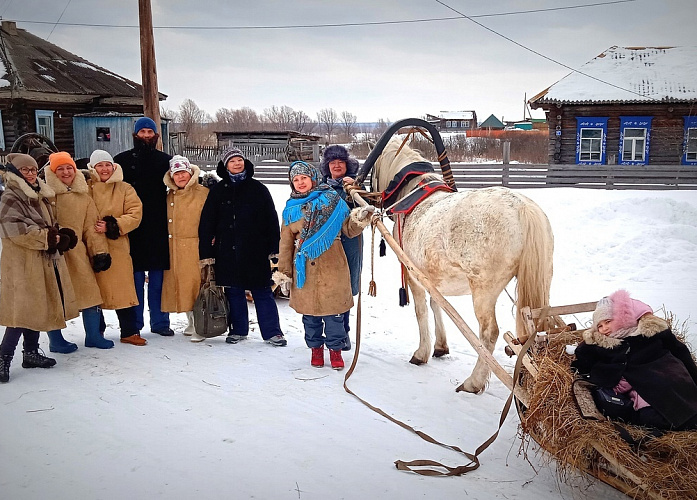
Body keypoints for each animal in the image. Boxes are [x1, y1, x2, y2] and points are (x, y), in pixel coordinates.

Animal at [372, 138, 552, 394]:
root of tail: (522, 208)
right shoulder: (432, 277)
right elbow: (437, 305)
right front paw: (440, 346)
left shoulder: (414, 276)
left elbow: (421, 311)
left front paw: (422, 353)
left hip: (483, 291)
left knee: (489, 333)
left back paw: (473, 382)